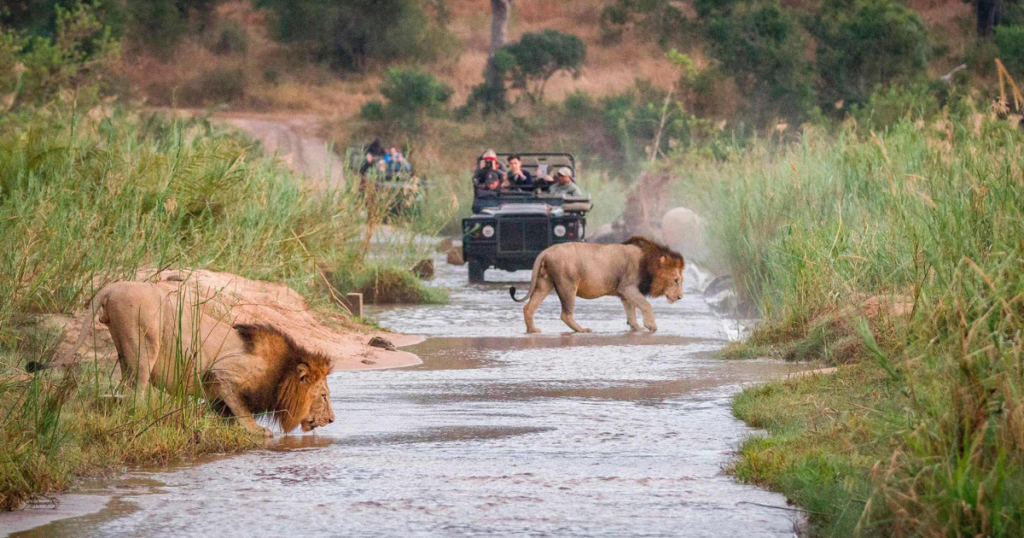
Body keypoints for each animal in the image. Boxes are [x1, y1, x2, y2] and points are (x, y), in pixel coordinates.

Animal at [43, 281, 335, 438]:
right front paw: (256, 431)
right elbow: (241, 410)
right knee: (137, 393)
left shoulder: (217, 393)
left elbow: (223, 411)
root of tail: (113, 286)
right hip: (145, 345)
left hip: (125, 352)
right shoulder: (222, 373)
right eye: (324, 396)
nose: (333, 420)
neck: (281, 373)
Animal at [510, 237, 685, 333]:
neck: (649, 262)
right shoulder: (628, 287)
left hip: (544, 283)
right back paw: (582, 330)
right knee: (566, 314)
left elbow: (631, 311)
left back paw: (532, 330)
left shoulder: (625, 293)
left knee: (528, 307)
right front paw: (651, 326)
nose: (680, 297)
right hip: (567, 284)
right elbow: (646, 305)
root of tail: (546, 251)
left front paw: (636, 327)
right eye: (676, 280)